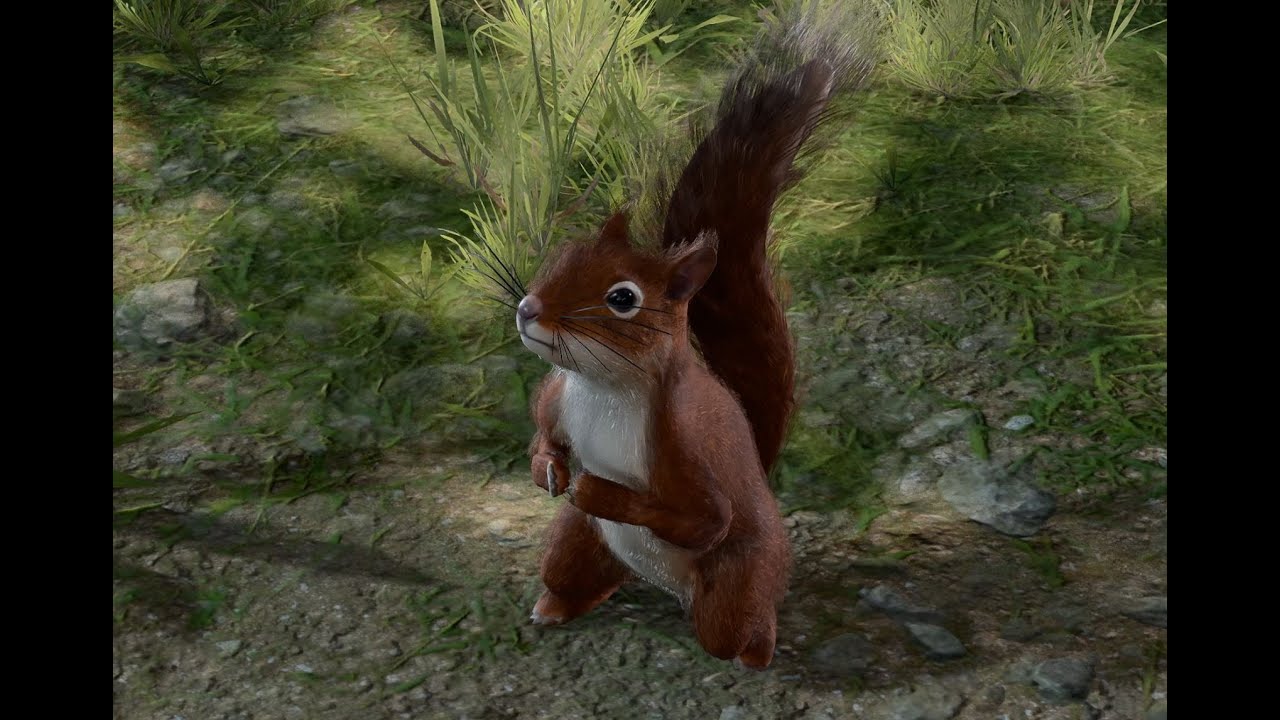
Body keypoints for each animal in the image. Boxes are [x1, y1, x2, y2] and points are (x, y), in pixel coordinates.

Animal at [508, 2, 878, 669]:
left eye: (623, 298)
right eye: (562, 254)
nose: (528, 309)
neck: (602, 385)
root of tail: (671, 591)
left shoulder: (685, 438)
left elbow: (706, 518)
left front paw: (598, 489)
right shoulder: (556, 394)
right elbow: (545, 429)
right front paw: (547, 468)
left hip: (740, 580)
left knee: (733, 621)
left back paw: (755, 655)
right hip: (576, 545)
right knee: (573, 572)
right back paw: (551, 608)